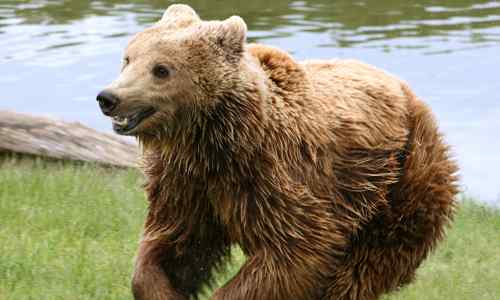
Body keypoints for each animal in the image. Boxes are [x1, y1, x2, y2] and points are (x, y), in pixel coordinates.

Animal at [95, 4, 458, 300]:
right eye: (128, 58)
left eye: (161, 69)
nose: (108, 97)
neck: (211, 139)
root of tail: (407, 90)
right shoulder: (186, 183)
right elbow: (176, 244)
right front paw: (163, 289)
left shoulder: (274, 178)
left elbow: (294, 252)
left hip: (400, 180)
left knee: (364, 268)